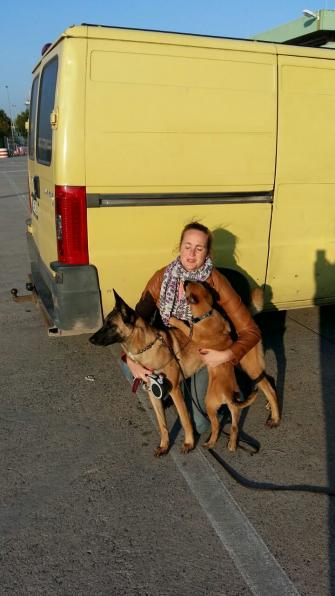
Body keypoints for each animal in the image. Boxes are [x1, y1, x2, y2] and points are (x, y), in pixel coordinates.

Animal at [90, 292, 205, 456]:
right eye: (104, 323)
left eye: (111, 325)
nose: (90, 339)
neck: (146, 348)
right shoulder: (153, 391)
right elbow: (162, 424)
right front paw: (164, 445)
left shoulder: (175, 391)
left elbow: (184, 420)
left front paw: (189, 443)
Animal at [171, 282, 280, 450]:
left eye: (188, 285)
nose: (186, 280)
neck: (207, 313)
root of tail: (227, 395)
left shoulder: (193, 334)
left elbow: (185, 327)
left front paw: (173, 320)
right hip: (241, 388)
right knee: (235, 425)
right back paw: (232, 444)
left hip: (212, 402)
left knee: (216, 425)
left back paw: (211, 442)